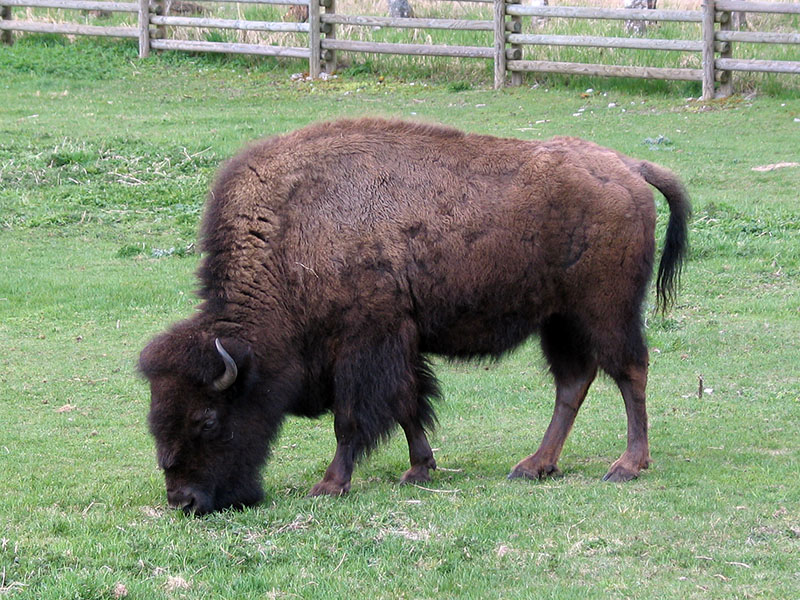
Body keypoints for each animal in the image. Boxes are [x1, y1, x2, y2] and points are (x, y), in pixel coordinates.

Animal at [139, 118, 689, 515]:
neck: (290, 234)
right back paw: (534, 466)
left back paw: (627, 465)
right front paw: (419, 469)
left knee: (629, 371)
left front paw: (331, 484)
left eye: (207, 419)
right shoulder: (398, 344)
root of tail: (629, 167)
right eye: (155, 417)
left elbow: (352, 419)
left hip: (605, 311)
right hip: (560, 320)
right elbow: (408, 405)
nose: (185, 501)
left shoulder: (364, 345)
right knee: (573, 383)